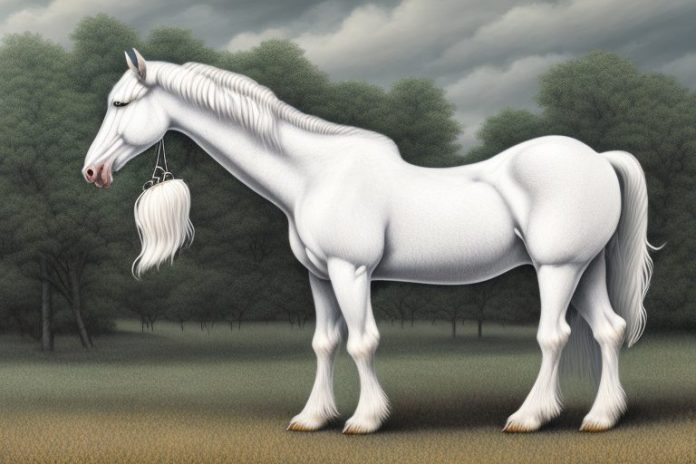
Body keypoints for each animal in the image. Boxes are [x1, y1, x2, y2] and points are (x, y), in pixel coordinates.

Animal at [82, 49, 655, 434]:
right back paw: (601, 417)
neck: (315, 174)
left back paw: (530, 417)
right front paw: (312, 417)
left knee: (554, 336)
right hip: (585, 269)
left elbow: (362, 342)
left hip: (558, 269)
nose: (92, 172)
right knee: (608, 330)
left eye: (122, 102)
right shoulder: (318, 276)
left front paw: (364, 420)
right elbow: (324, 343)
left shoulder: (349, 270)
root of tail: (598, 157)